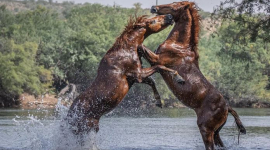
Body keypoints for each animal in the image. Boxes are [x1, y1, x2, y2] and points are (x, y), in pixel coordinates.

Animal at [139, 1, 247, 150]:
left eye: (174, 5)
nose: (154, 8)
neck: (179, 45)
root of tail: (227, 107)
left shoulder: (157, 59)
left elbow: (141, 47)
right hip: (216, 133)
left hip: (206, 130)